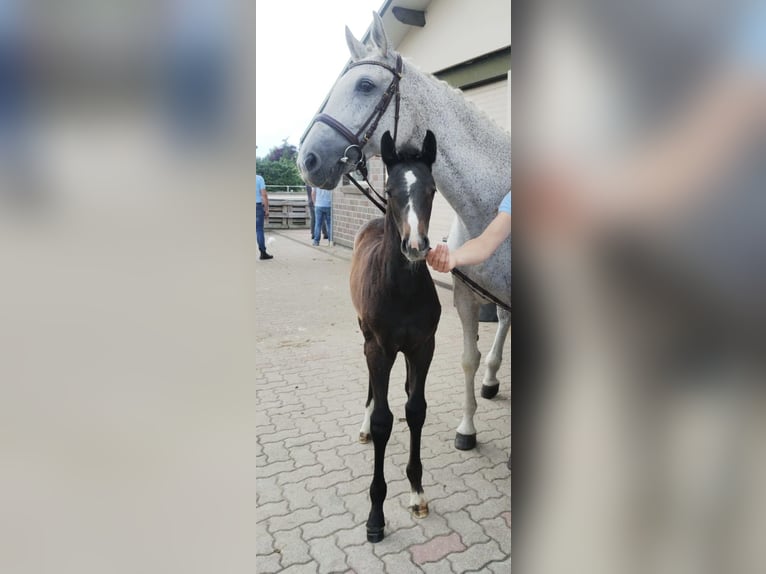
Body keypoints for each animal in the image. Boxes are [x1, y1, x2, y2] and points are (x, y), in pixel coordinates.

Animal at [298, 13, 510, 452]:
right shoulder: (466, 296)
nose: (306, 159)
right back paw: (491, 379)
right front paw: (467, 429)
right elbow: (468, 359)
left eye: (365, 85)